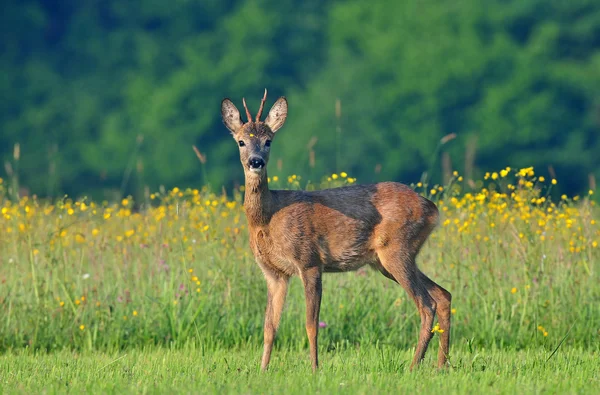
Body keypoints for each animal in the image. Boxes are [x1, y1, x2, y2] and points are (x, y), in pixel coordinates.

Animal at [220, 90, 450, 374]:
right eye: (241, 142)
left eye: (268, 141)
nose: (256, 161)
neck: (267, 217)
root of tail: (432, 208)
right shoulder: (274, 273)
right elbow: (269, 327)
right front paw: (262, 370)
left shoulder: (309, 260)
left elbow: (310, 324)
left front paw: (314, 369)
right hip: (388, 260)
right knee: (443, 295)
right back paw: (442, 364)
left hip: (397, 249)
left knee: (427, 304)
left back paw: (414, 365)